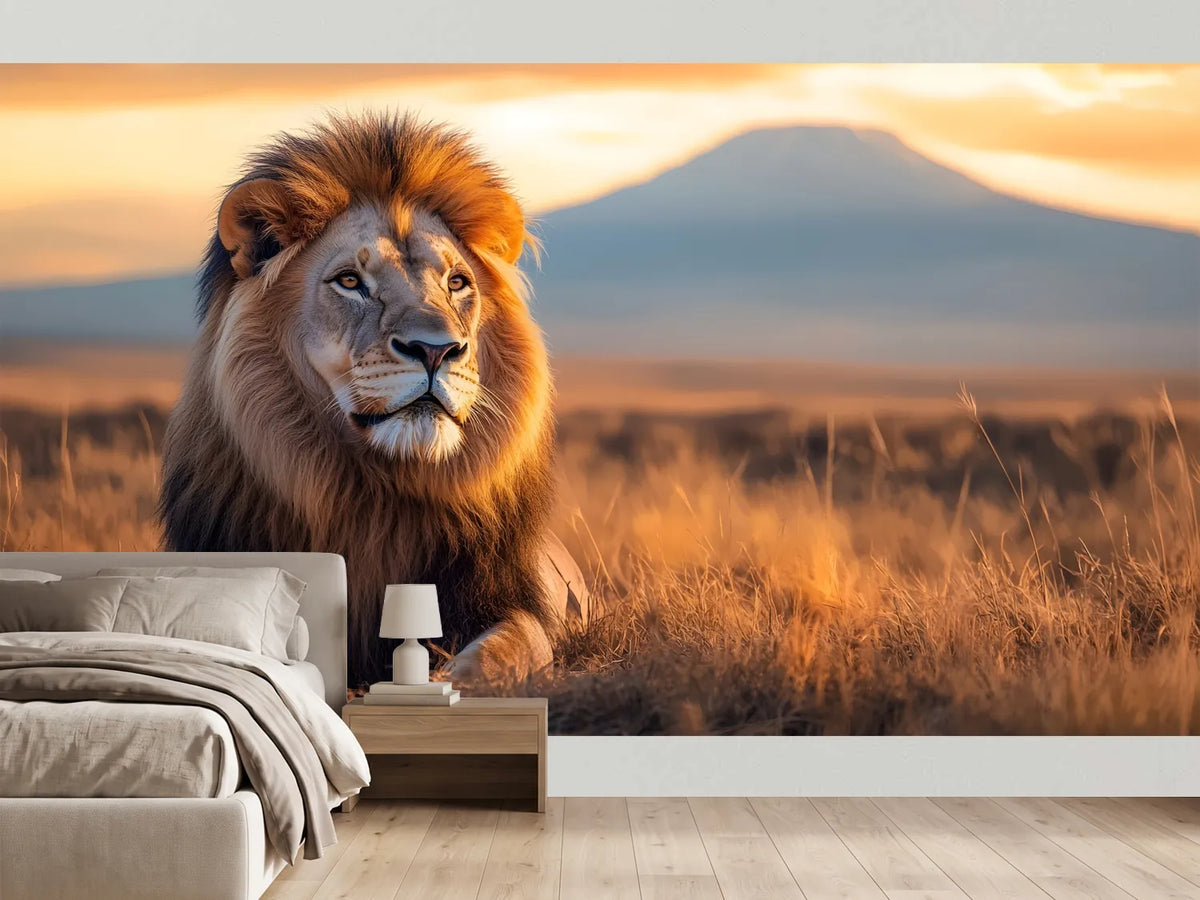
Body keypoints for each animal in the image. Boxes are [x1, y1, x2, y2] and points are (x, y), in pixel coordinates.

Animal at [159, 112, 589, 688]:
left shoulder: (509, 599)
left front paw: (446, 681)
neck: (376, 493)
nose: (436, 349)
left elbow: (509, 648)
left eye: (457, 283)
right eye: (349, 281)